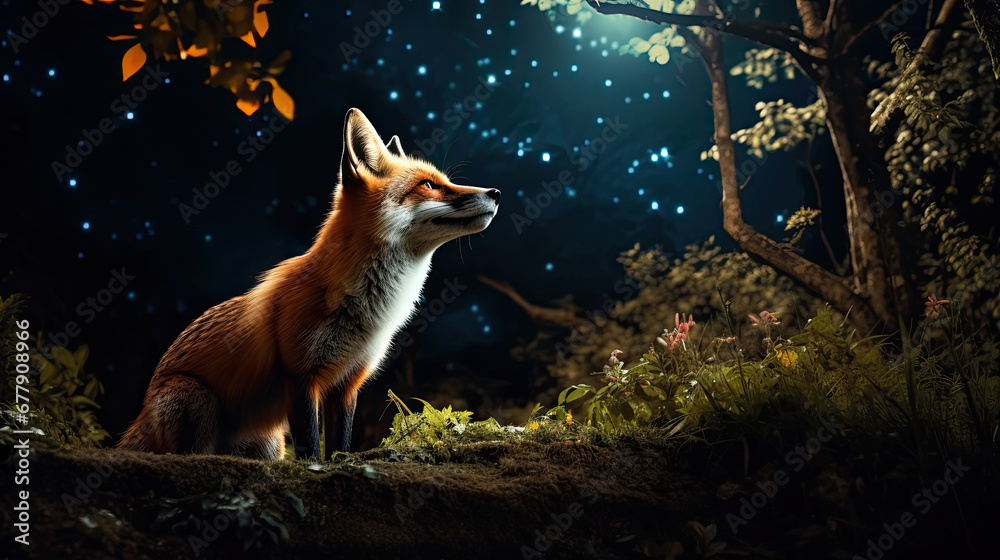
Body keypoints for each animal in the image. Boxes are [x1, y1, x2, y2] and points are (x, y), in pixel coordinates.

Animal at [118, 108, 500, 460]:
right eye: (429, 185)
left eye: (442, 180)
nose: (496, 191)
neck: (366, 308)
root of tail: (137, 420)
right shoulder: (300, 375)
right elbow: (311, 449)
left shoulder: (348, 381)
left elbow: (340, 445)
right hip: (196, 398)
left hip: (268, 443)